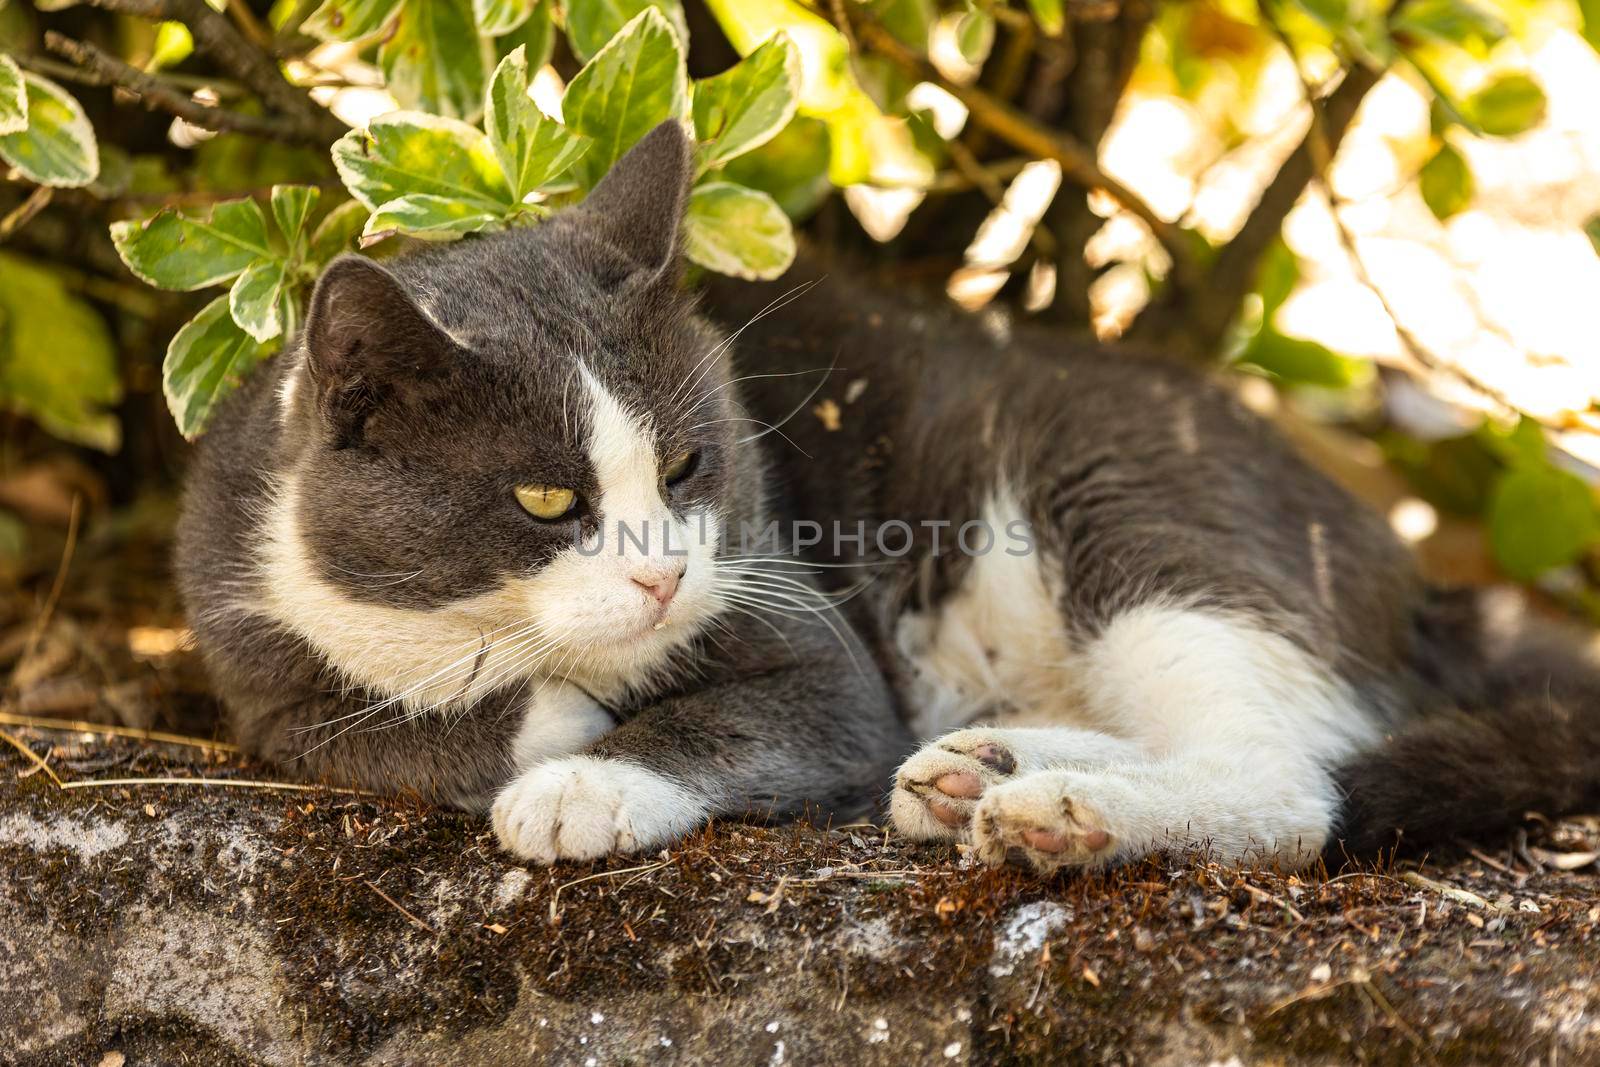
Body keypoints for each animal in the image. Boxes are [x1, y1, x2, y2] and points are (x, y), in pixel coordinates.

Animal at [181, 123, 1600, 876]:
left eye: (688, 466)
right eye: (543, 497)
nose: (662, 576)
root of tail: (1418, 574)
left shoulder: (798, 615)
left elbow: (771, 713)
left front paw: (585, 777)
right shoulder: (242, 639)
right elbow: (340, 728)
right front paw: (537, 713)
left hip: (1130, 492)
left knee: (1288, 774)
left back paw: (1059, 809)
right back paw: (982, 769)